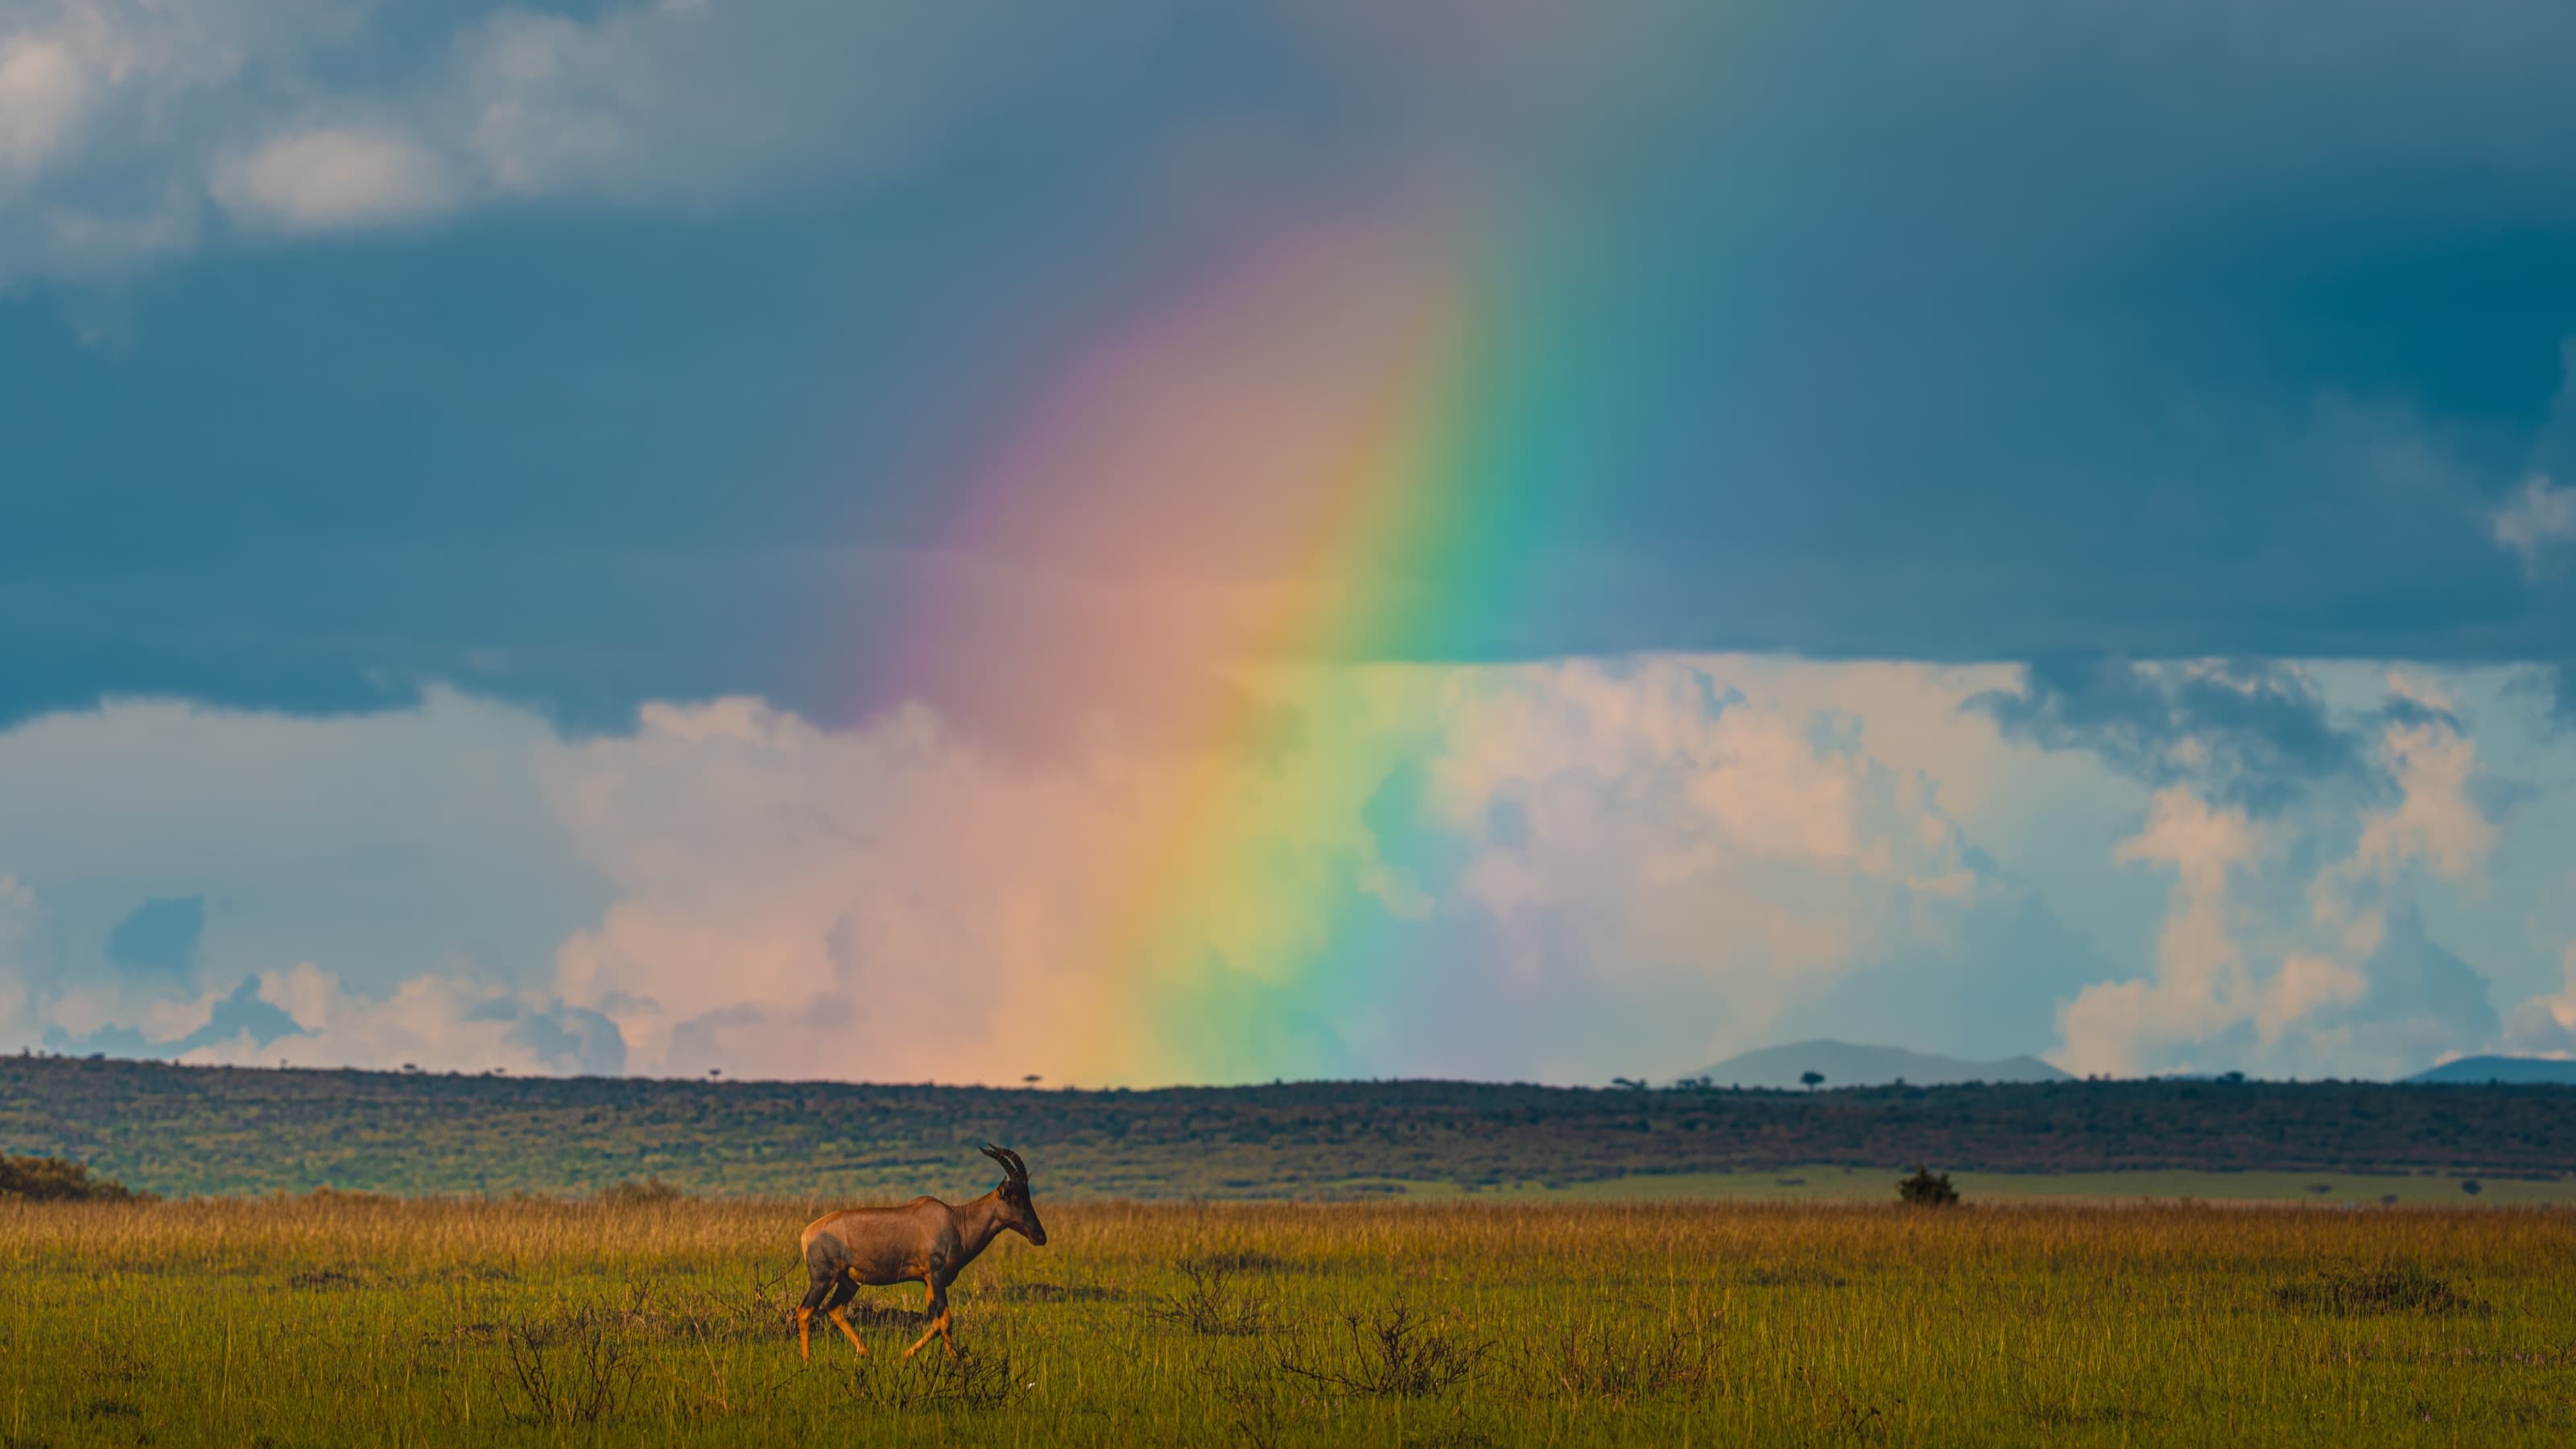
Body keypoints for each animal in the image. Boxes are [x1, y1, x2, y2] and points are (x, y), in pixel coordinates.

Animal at [796, 1144, 1047, 1362]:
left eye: (1028, 1195)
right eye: (1014, 1198)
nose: (1040, 1236)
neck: (955, 1221)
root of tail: (807, 1232)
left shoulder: (927, 1281)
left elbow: (936, 1322)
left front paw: (905, 1354)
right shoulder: (936, 1276)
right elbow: (945, 1319)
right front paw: (954, 1362)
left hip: (849, 1282)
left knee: (834, 1309)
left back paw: (867, 1353)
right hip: (823, 1278)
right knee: (804, 1310)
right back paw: (807, 1360)